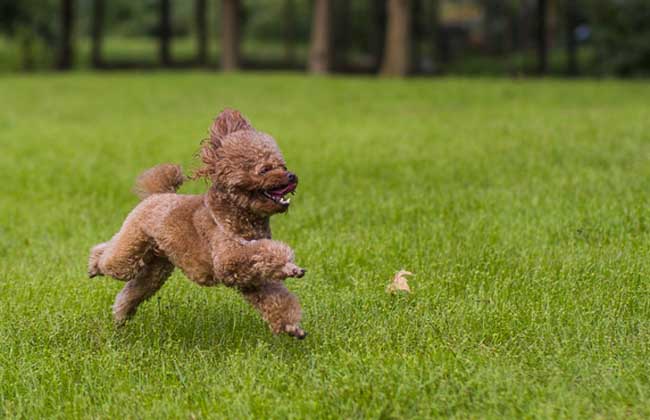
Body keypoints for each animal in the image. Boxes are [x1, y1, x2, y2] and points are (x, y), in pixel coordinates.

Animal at [86, 108, 306, 338]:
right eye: (264, 170)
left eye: (283, 166)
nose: (292, 176)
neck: (239, 215)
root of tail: (158, 194)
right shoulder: (228, 259)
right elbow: (263, 251)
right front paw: (288, 264)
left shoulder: (253, 279)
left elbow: (276, 298)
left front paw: (291, 325)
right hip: (132, 247)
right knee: (110, 256)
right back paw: (93, 266)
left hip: (156, 268)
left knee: (133, 291)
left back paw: (120, 317)